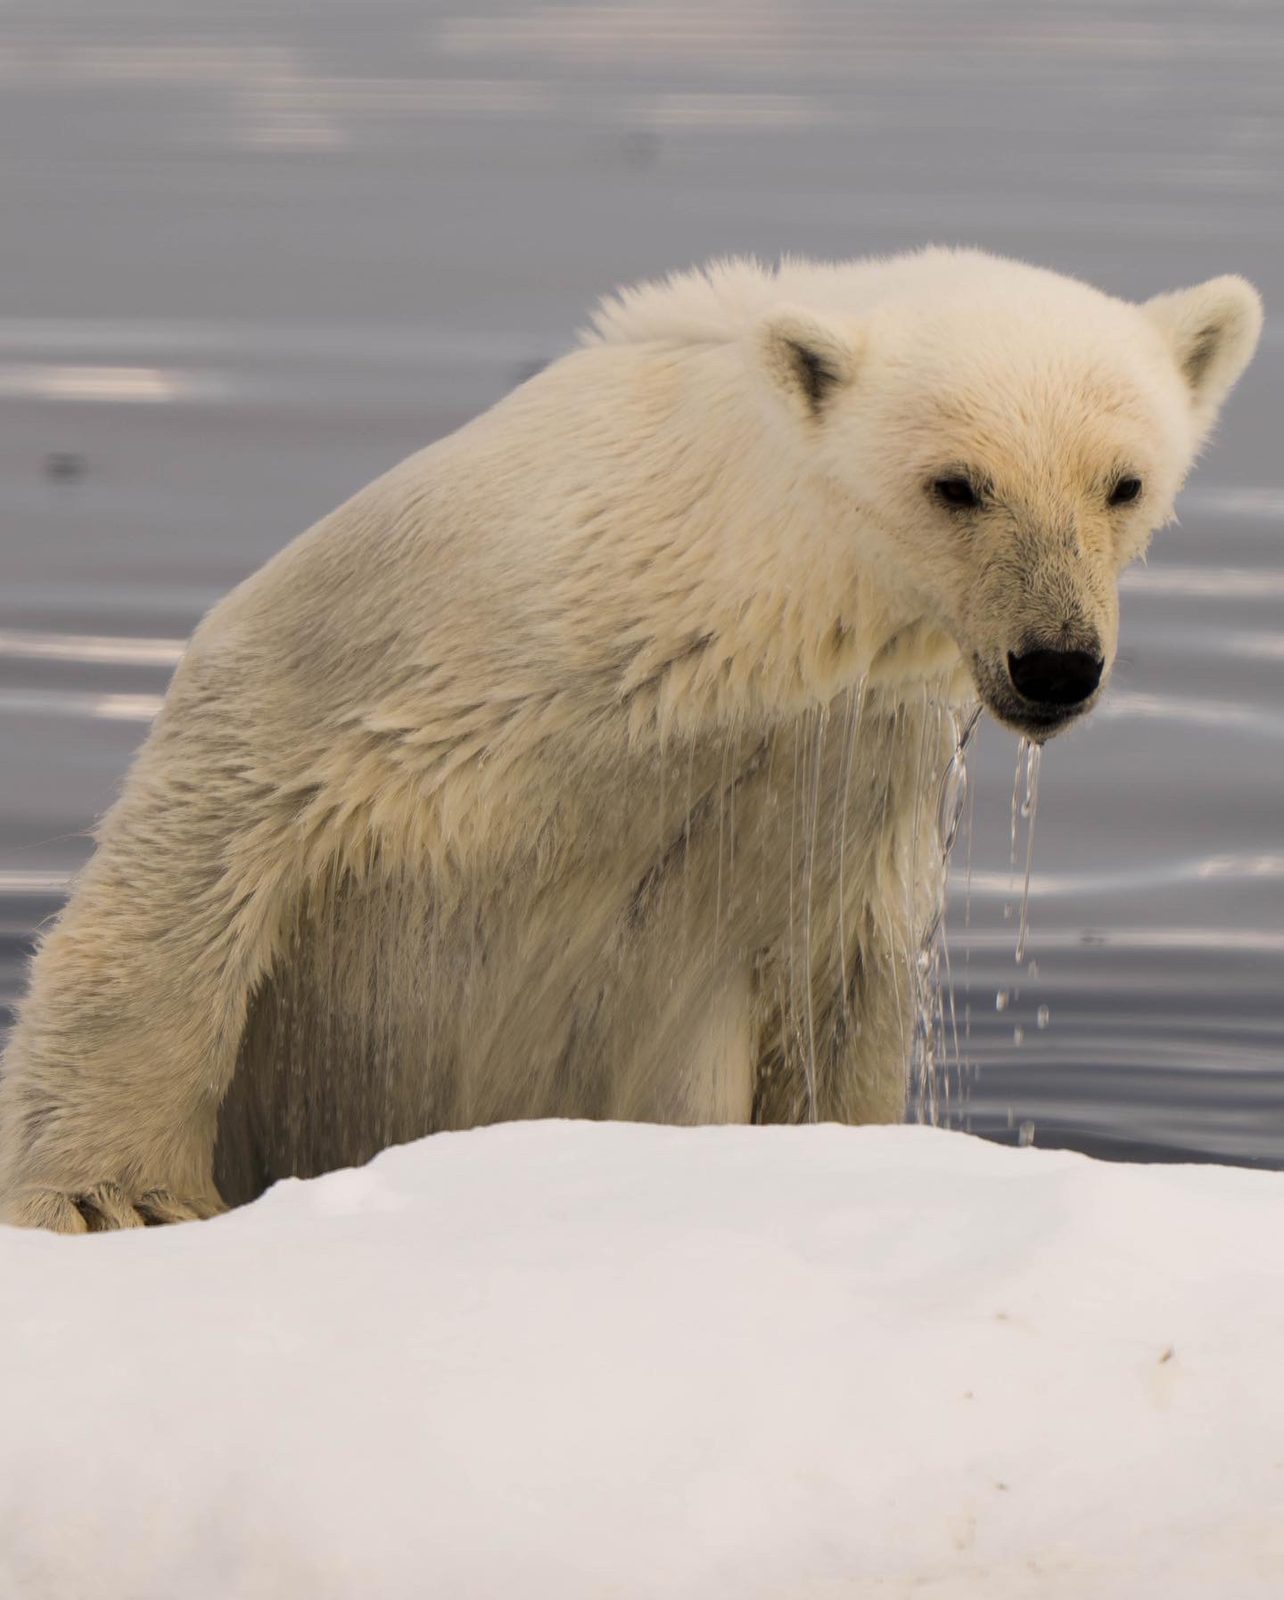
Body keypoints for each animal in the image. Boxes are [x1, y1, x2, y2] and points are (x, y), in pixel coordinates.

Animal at [0, 248, 1262, 1231]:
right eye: (957, 485)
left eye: (1123, 483)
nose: (1055, 662)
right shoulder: (436, 615)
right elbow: (221, 816)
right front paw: (113, 1195)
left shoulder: (834, 762)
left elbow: (833, 983)